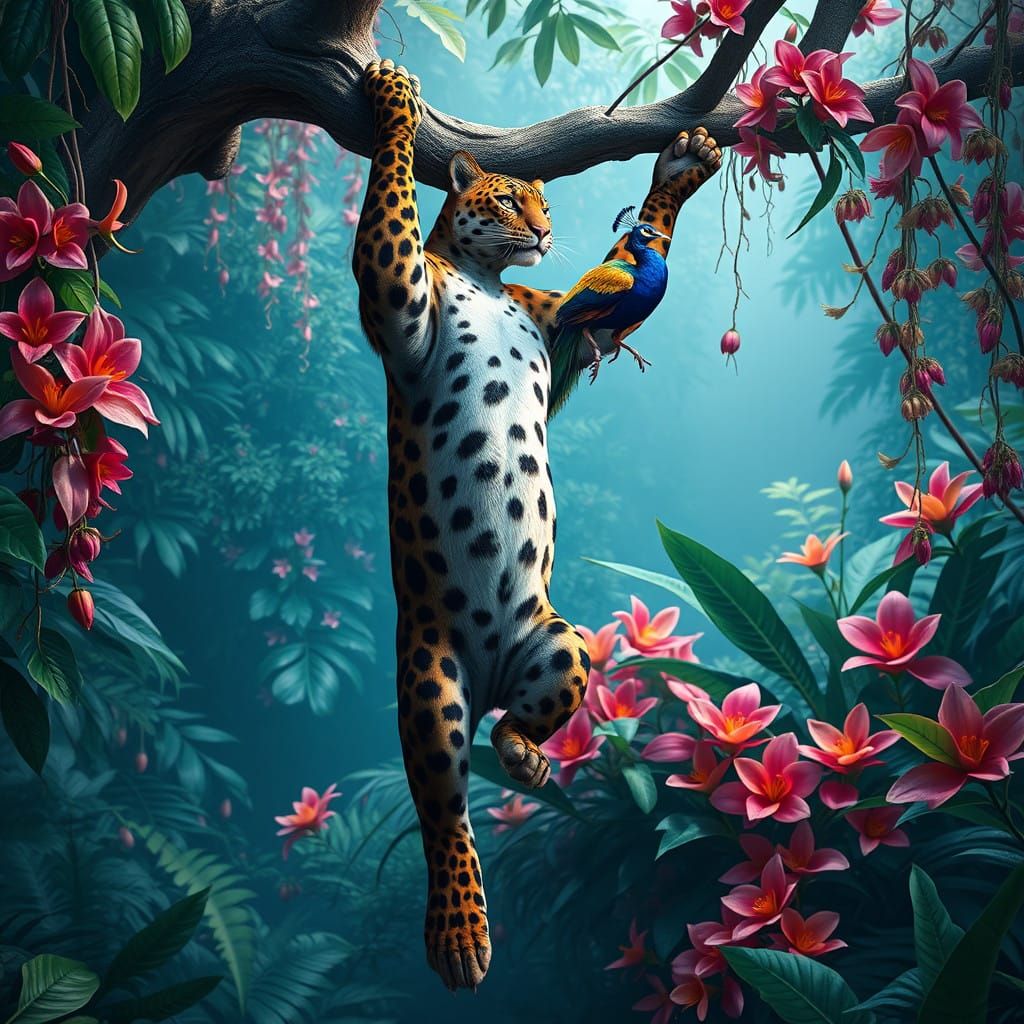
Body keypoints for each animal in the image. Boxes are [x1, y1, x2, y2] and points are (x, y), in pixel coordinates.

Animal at [352, 58, 722, 991]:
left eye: (545, 204)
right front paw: (394, 97)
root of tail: (483, 681)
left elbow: (626, 265)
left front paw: (683, 165)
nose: (548, 230)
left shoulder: (566, 332)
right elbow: (391, 199)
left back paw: (523, 752)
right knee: (445, 809)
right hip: (430, 681)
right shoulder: (396, 295)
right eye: (513, 200)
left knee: (515, 722)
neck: (487, 278)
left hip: (562, 644)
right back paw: (459, 935)